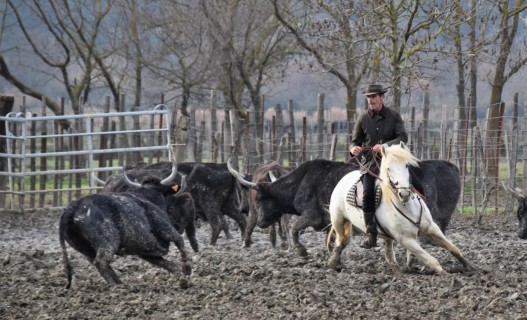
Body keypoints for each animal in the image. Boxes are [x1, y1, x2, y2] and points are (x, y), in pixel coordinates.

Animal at [60, 174, 192, 288]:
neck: (149, 196)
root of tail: (75, 206)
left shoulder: (148, 253)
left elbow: (170, 265)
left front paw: (181, 279)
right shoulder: (168, 231)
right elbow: (181, 244)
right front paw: (187, 270)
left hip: (87, 250)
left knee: (102, 265)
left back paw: (121, 284)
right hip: (108, 243)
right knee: (101, 263)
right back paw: (116, 287)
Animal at [233, 159, 460, 256]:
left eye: (259, 198)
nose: (261, 222)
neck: (301, 181)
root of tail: (451, 166)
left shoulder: (313, 216)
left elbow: (295, 228)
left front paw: (301, 250)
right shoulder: (329, 221)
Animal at [328, 142, 472, 276]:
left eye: (407, 165)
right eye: (388, 168)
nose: (404, 194)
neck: (408, 208)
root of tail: (345, 178)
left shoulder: (432, 228)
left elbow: (453, 248)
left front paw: (468, 266)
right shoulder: (407, 240)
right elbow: (431, 260)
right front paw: (446, 275)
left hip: (386, 236)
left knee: (389, 256)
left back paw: (399, 273)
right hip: (339, 220)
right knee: (341, 241)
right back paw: (334, 264)